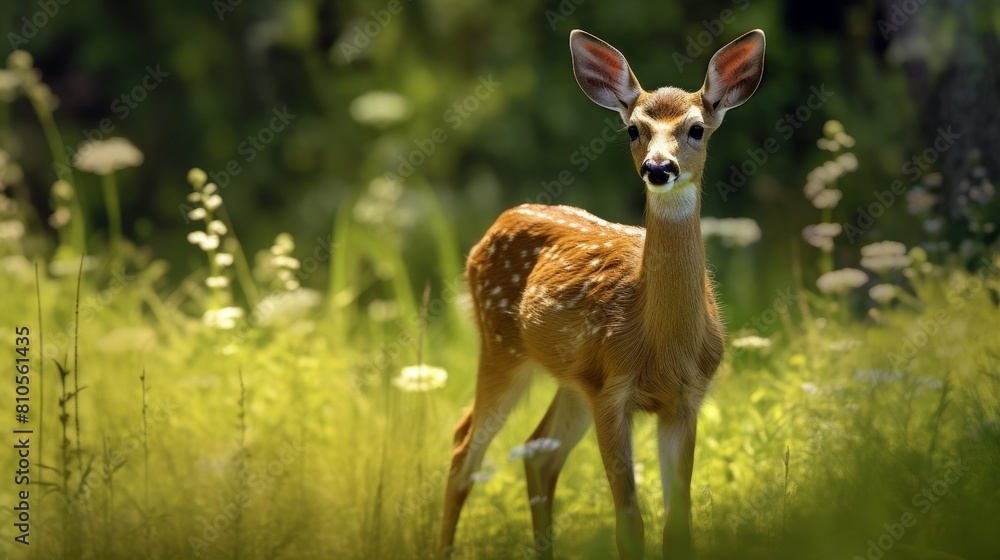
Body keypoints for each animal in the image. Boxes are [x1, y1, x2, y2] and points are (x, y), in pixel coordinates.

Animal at [439, 28, 765, 559]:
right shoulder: (612, 391)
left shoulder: (684, 399)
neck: (660, 342)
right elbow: (629, 523)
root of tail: (497, 222)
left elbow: (678, 526)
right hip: (504, 348)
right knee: (465, 446)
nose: (659, 167)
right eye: (633, 130)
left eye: (697, 129)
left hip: (572, 378)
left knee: (537, 452)